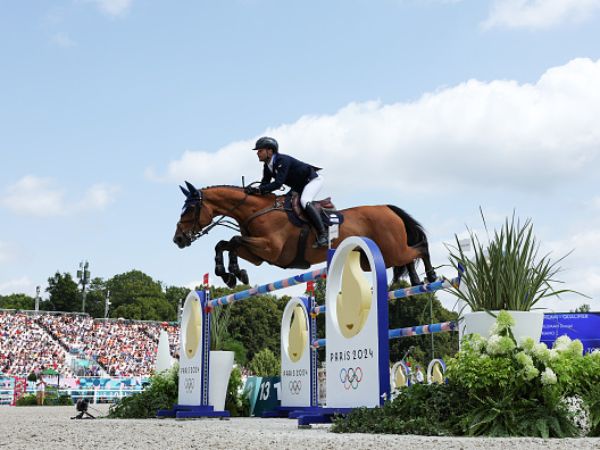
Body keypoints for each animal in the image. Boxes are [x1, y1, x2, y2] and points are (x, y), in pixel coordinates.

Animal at [172, 180, 436, 288]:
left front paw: (234, 273)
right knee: (409, 258)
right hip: (375, 257)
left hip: (390, 251)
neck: (255, 211)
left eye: (190, 209)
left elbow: (233, 240)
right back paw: (415, 282)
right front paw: (231, 275)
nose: (178, 239)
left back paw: (432, 277)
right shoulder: (258, 255)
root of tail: (387, 208)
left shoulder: (271, 248)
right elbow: (224, 243)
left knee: (420, 247)